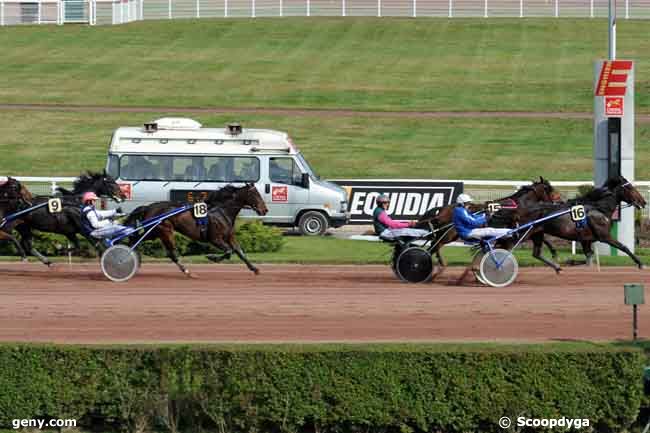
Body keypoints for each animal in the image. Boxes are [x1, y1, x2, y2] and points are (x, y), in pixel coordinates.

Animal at [123, 184, 268, 276]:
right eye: (256, 195)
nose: (265, 210)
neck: (221, 211)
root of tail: (148, 207)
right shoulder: (214, 239)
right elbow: (228, 251)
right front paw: (212, 257)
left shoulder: (229, 236)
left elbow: (239, 252)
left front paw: (254, 269)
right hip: (165, 231)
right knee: (172, 254)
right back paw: (187, 271)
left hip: (154, 232)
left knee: (135, 241)